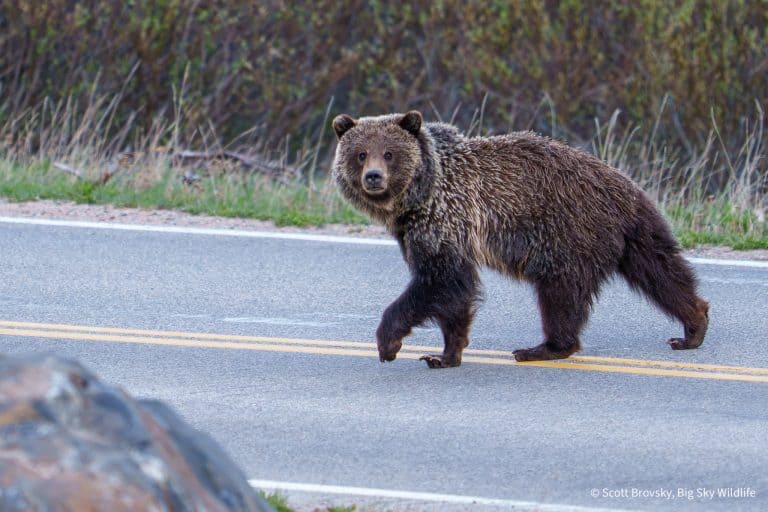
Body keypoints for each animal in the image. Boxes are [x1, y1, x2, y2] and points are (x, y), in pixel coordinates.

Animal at [331, 111, 709, 368]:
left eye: (389, 152)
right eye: (360, 153)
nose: (374, 177)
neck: (420, 195)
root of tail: (623, 190)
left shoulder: (445, 218)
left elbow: (441, 280)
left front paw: (389, 343)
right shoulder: (425, 230)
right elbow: (455, 291)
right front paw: (445, 354)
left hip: (568, 233)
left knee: (560, 292)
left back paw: (543, 348)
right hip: (637, 232)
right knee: (661, 271)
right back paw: (693, 326)